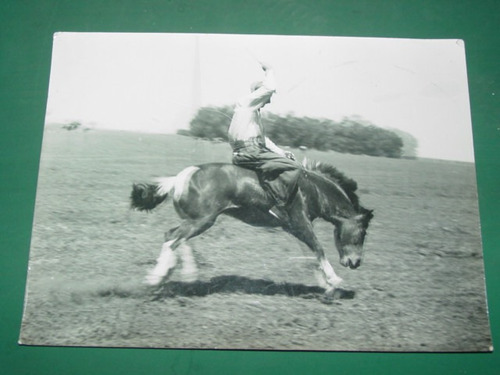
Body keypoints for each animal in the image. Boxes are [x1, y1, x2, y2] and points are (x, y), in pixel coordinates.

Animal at [131, 160, 374, 296]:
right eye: (362, 233)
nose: (355, 262)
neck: (309, 189)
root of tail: (180, 178)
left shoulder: (294, 229)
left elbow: (312, 255)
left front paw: (328, 287)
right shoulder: (300, 224)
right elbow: (319, 249)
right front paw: (334, 281)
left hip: (196, 221)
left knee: (174, 238)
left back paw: (183, 275)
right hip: (202, 221)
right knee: (172, 240)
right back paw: (156, 278)